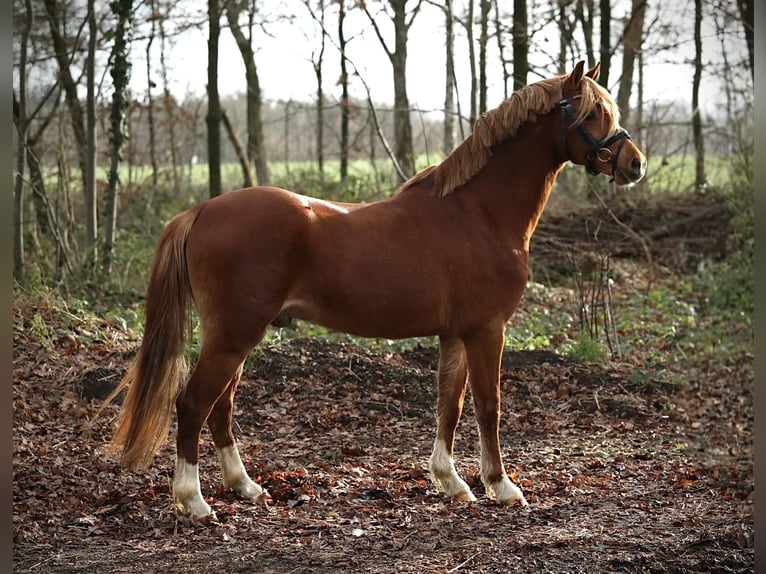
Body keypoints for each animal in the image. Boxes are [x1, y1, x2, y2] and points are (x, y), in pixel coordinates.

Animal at [102, 62, 648, 520]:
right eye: (593, 113)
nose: (636, 164)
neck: (478, 213)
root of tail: (201, 210)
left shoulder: (454, 335)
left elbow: (449, 405)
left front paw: (451, 483)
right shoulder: (486, 331)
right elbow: (488, 407)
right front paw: (502, 486)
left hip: (235, 337)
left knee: (221, 407)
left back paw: (245, 487)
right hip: (233, 334)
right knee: (194, 404)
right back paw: (194, 501)